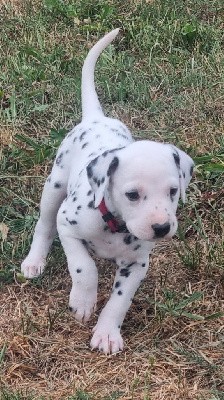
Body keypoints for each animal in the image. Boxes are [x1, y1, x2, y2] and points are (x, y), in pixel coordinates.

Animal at [21, 28, 194, 354]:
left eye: (173, 191)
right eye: (132, 195)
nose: (161, 228)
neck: (114, 225)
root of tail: (96, 118)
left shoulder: (137, 264)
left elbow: (119, 301)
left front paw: (107, 333)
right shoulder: (68, 226)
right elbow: (84, 267)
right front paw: (82, 302)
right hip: (54, 186)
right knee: (44, 224)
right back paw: (34, 261)